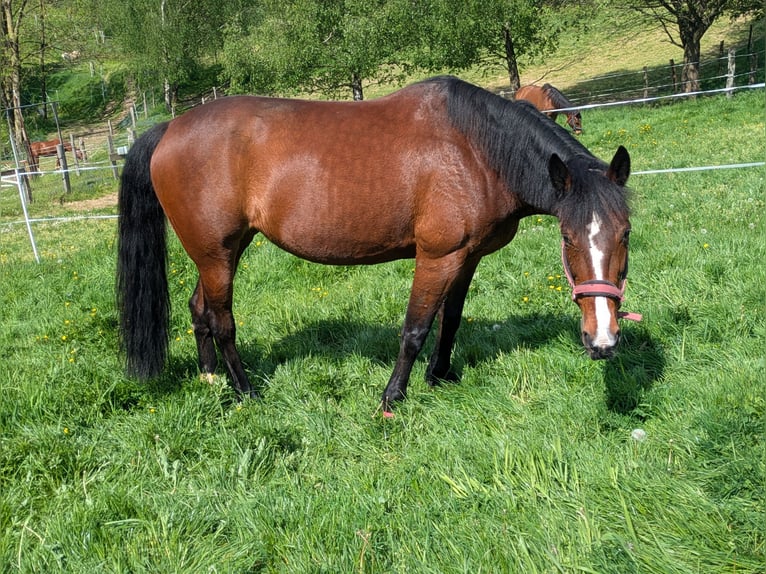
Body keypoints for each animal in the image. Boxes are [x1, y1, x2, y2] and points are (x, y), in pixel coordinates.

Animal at [117, 75, 637, 414]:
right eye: (568, 237)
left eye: (626, 233)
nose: (603, 341)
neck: (475, 149)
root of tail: (169, 128)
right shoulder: (437, 257)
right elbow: (415, 329)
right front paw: (392, 398)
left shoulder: (467, 258)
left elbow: (450, 321)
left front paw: (440, 376)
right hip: (217, 254)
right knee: (222, 322)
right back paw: (245, 393)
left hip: (222, 251)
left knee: (200, 309)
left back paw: (210, 379)